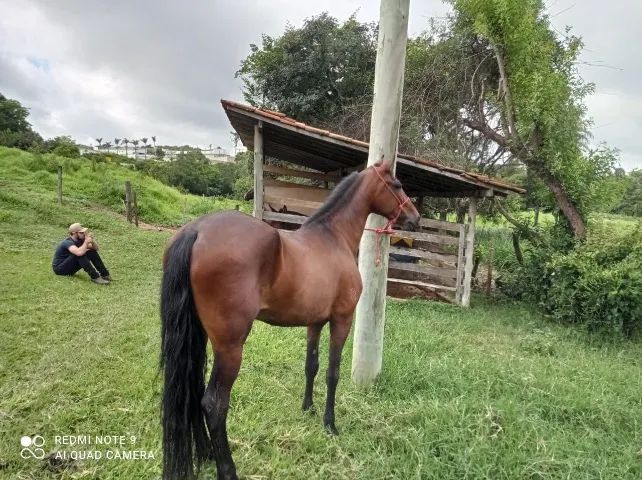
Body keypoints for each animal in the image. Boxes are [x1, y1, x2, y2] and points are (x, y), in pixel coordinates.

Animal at [160, 161, 420, 480]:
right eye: (397, 185)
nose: (415, 218)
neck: (333, 237)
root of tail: (196, 230)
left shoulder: (315, 323)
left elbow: (311, 366)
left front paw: (308, 408)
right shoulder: (341, 320)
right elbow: (332, 372)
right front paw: (330, 424)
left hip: (200, 335)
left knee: (193, 391)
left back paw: (207, 454)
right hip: (230, 348)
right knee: (213, 404)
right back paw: (227, 468)